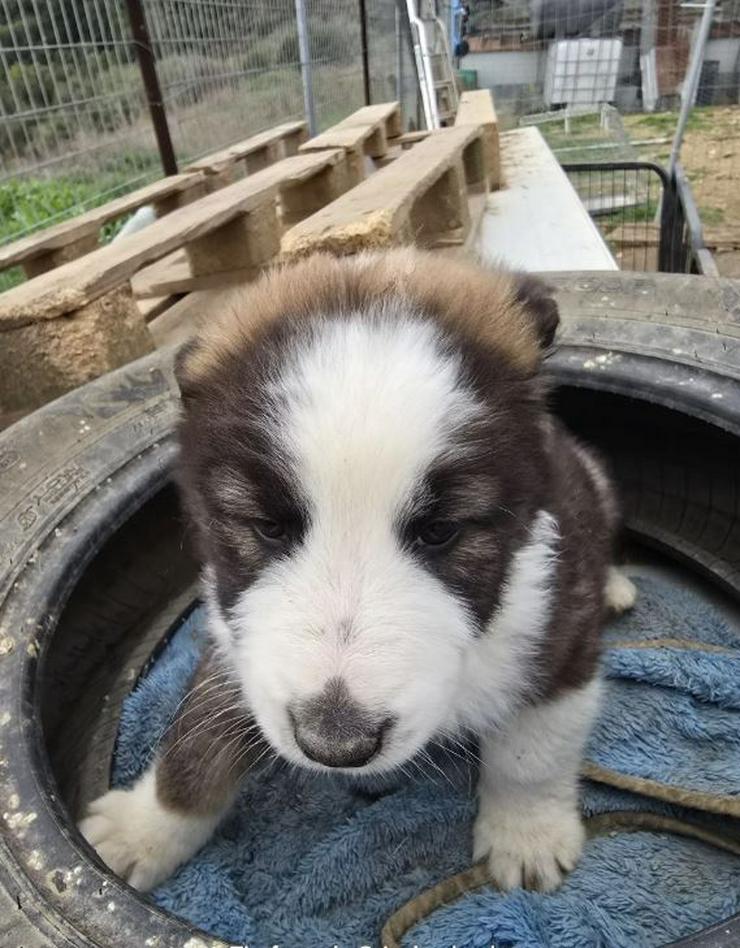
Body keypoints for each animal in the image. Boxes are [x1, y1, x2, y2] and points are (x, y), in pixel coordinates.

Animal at [81, 248, 636, 892]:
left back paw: (615, 586)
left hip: (592, 484)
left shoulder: (557, 627)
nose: (335, 744)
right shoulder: (235, 631)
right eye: (267, 527)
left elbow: (532, 751)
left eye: (441, 531)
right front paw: (146, 828)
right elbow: (195, 739)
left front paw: (528, 834)